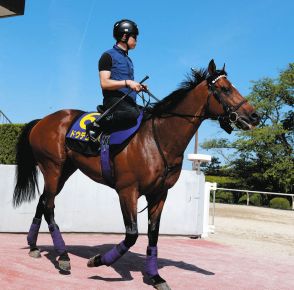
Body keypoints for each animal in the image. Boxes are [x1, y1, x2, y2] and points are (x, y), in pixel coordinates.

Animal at [12, 59, 258, 290]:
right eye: (225, 89)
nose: (254, 116)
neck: (158, 139)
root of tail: (43, 120)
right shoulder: (127, 191)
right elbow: (131, 234)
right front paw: (98, 260)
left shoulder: (159, 195)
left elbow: (153, 235)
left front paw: (156, 277)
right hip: (53, 168)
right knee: (49, 206)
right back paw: (63, 256)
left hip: (64, 171)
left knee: (43, 201)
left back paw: (33, 245)